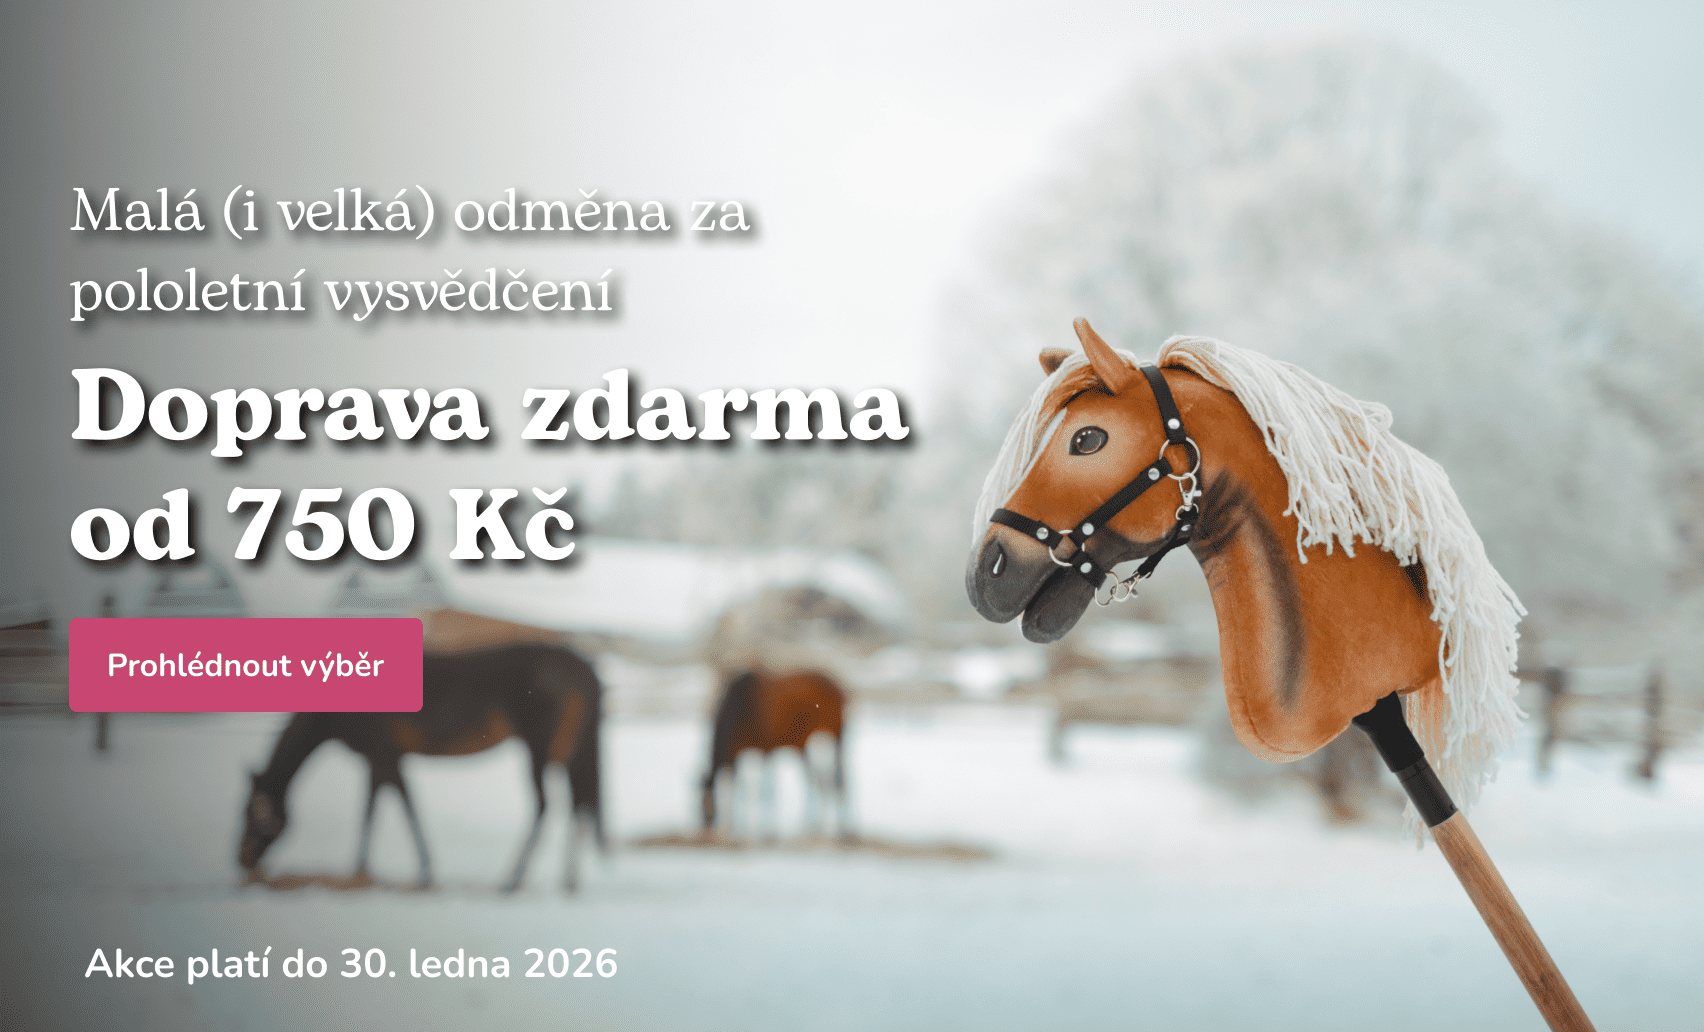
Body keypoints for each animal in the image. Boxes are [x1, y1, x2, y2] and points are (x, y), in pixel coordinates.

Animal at [238, 642, 605, 892]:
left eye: (252, 816)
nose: (240, 861)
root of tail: (581, 667)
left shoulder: (383, 756)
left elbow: (391, 809)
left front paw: (389, 872)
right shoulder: (383, 760)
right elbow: (385, 808)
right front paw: (368, 871)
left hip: (539, 749)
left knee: (546, 805)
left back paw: (513, 880)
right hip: (566, 751)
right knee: (577, 804)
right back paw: (568, 881)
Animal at [700, 669, 848, 839]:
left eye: (705, 803)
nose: (705, 831)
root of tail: (839, 690)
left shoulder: (754, 751)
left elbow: (751, 788)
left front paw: (750, 829)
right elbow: (730, 786)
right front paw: (727, 828)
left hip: (821, 743)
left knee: (828, 782)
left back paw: (829, 828)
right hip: (807, 748)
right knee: (819, 782)